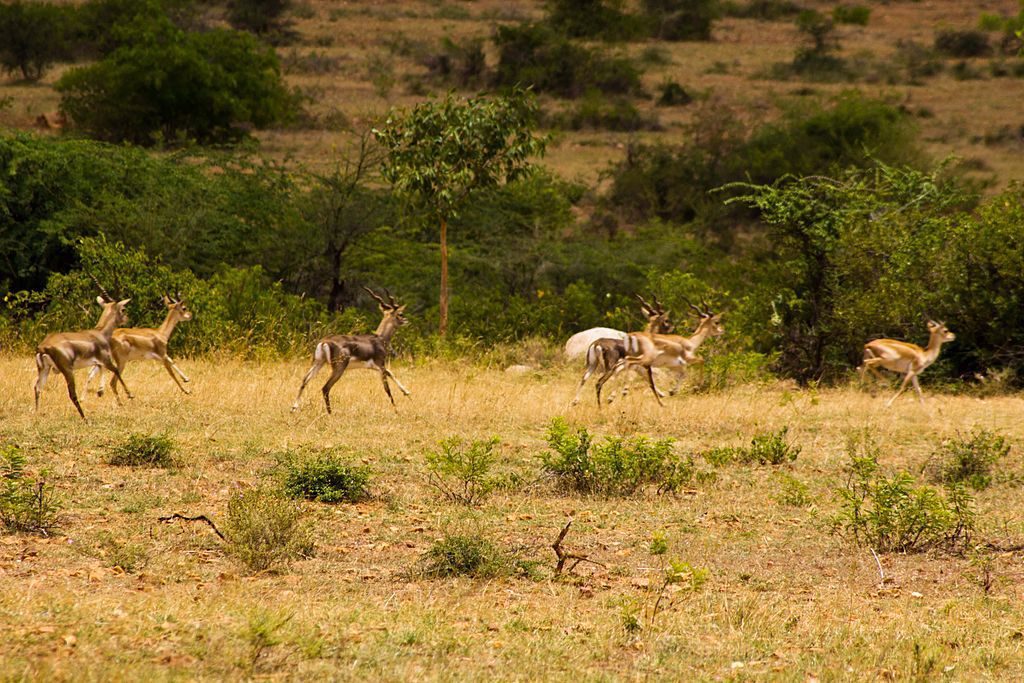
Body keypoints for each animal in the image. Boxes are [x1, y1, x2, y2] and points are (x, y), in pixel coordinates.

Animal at [593, 296, 729, 405]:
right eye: (716, 322)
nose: (722, 330)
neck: (689, 342)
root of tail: (631, 336)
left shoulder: (674, 366)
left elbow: (683, 374)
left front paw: (672, 391)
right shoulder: (687, 360)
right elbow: (701, 361)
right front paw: (695, 387)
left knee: (619, 367)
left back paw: (610, 396)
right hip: (643, 359)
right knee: (626, 365)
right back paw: (619, 393)